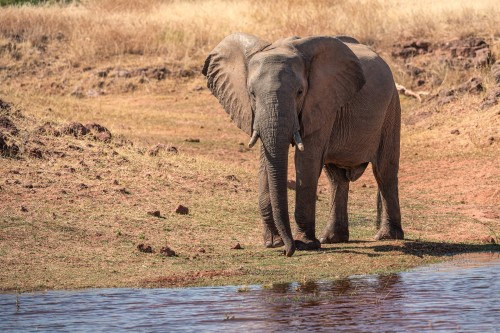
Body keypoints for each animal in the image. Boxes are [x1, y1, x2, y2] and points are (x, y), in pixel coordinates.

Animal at [201, 33, 404, 256]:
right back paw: (331, 238)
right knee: (336, 178)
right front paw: (273, 243)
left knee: (384, 171)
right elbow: (266, 162)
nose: (286, 251)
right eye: (252, 93)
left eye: (299, 92)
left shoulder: (321, 102)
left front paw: (304, 244)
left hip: (392, 107)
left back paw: (387, 236)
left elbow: (307, 162)